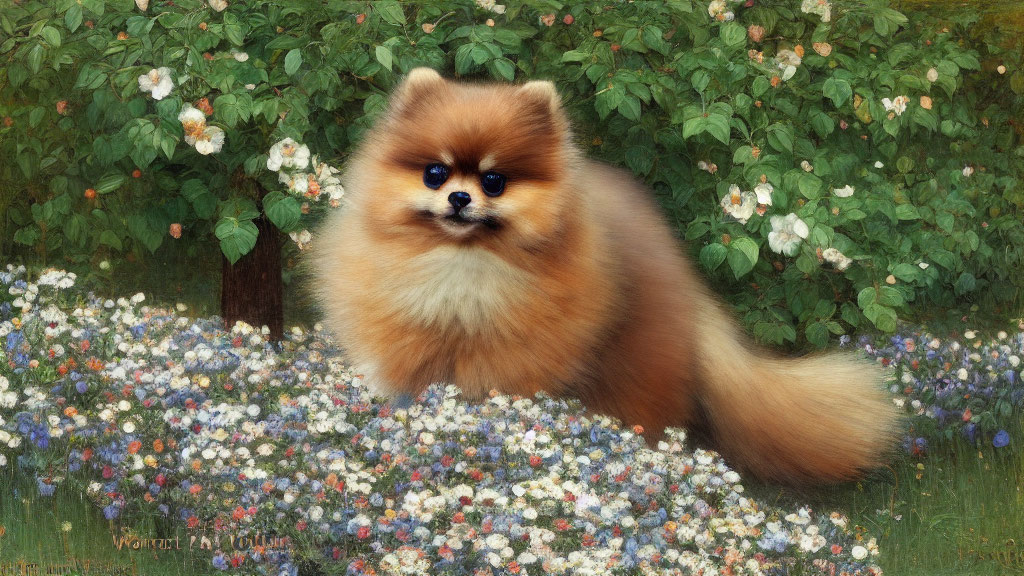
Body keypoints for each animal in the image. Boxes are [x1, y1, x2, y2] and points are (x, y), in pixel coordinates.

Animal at [309, 66, 897, 479]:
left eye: (495, 181)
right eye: (435, 173)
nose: (458, 197)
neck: (462, 261)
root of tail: (685, 277)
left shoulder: (511, 352)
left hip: (637, 366)